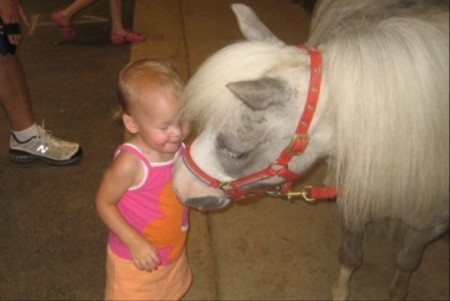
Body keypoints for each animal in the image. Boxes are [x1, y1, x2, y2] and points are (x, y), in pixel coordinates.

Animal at [171, 1, 446, 298]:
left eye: (238, 153)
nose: (180, 187)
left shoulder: (430, 226)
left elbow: (406, 262)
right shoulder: (353, 207)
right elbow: (351, 256)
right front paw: (340, 291)